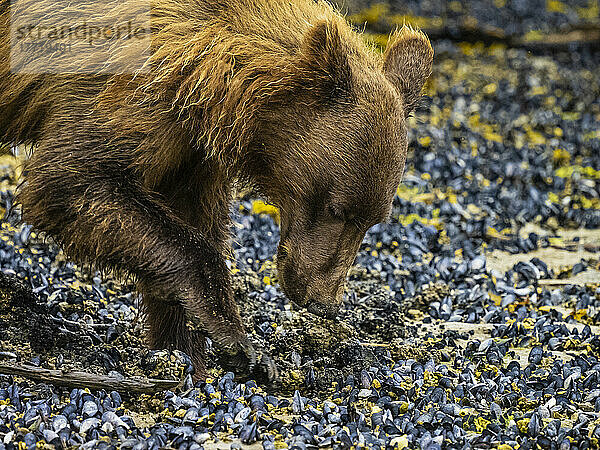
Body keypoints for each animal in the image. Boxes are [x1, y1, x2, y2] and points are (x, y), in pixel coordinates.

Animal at [0, 0, 432, 380]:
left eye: (373, 221)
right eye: (338, 209)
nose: (324, 302)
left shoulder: (189, 145)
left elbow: (186, 217)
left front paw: (187, 349)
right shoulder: (120, 88)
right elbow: (71, 180)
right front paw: (239, 343)